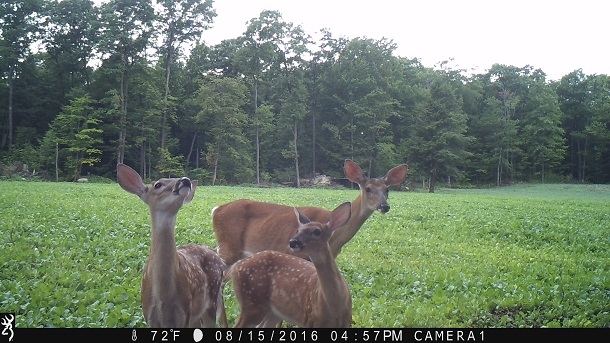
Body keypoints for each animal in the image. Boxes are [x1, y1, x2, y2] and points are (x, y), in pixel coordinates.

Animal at [116, 165, 226, 330]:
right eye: (158, 185)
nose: (185, 180)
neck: (163, 297)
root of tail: (217, 255)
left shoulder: (184, 312)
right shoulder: (149, 314)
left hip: (211, 300)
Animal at [211, 160, 406, 268]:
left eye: (387, 190)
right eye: (368, 189)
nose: (384, 206)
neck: (335, 239)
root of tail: (216, 209)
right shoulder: (295, 254)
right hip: (229, 245)